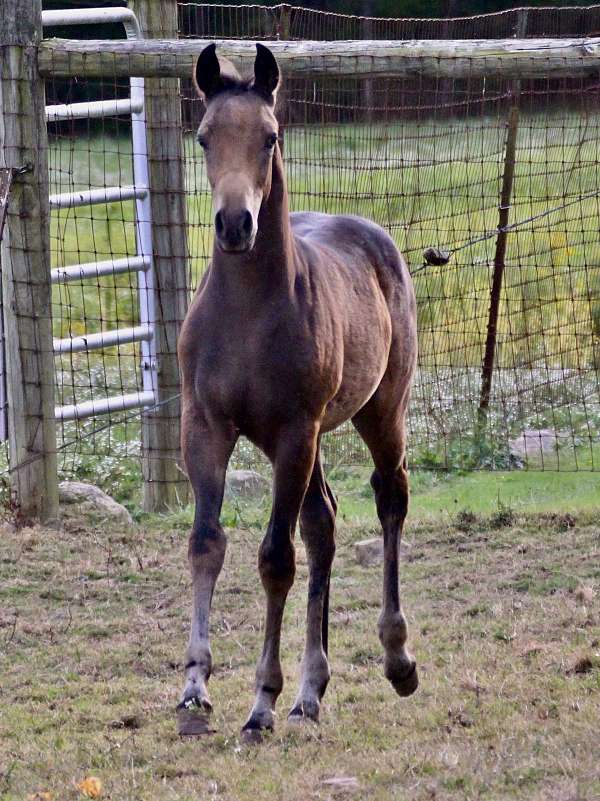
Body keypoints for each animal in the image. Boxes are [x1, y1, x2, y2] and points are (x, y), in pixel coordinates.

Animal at [176, 40, 414, 736]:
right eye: (203, 137)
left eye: (270, 136)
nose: (234, 224)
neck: (250, 314)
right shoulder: (205, 426)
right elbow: (207, 543)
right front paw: (194, 687)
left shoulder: (292, 432)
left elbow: (274, 559)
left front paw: (261, 702)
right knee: (323, 523)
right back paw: (312, 692)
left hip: (379, 410)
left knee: (389, 497)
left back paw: (397, 659)